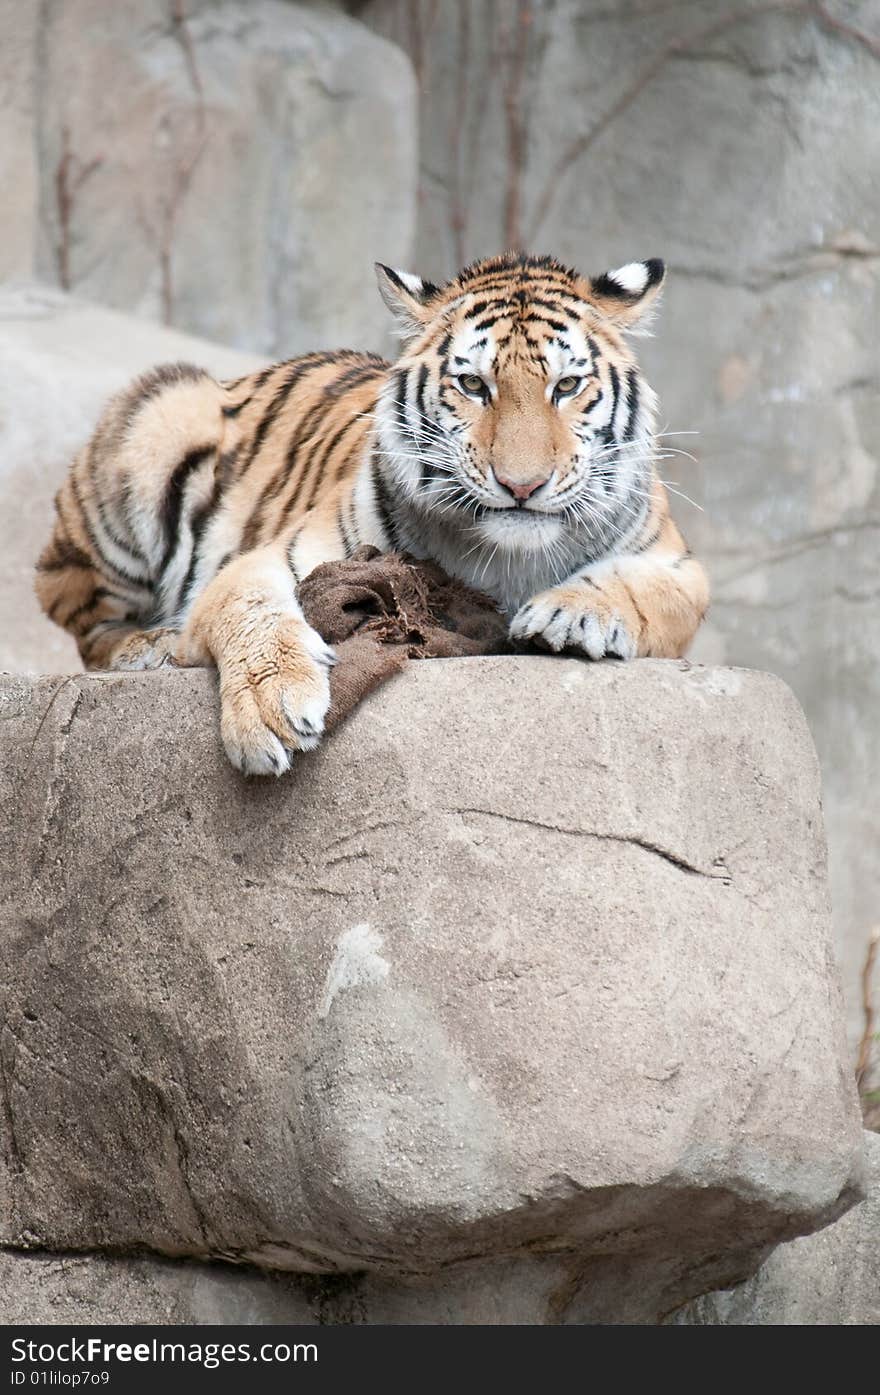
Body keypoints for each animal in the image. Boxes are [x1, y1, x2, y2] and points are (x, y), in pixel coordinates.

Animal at [34, 251, 708, 775]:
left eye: (566, 387)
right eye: (473, 385)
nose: (522, 485)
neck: (504, 554)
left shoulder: (679, 568)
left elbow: (638, 590)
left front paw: (569, 614)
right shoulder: (266, 562)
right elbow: (252, 612)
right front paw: (272, 708)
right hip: (159, 417)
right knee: (84, 624)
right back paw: (149, 645)